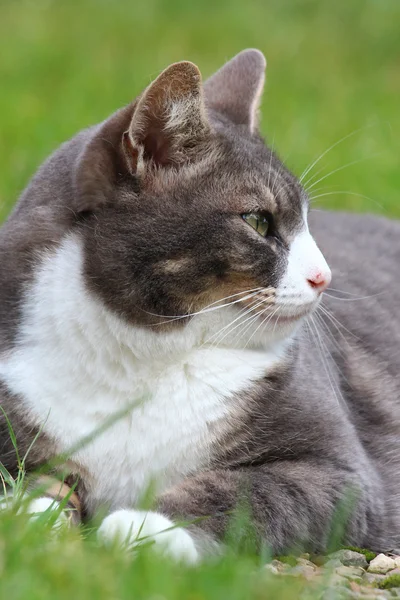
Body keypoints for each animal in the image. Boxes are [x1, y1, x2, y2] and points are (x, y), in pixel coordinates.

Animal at [0, 48, 400, 564]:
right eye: (258, 221)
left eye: (309, 221)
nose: (324, 276)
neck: (141, 358)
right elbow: (36, 478)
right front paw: (28, 515)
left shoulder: (344, 475)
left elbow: (250, 492)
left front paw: (147, 527)